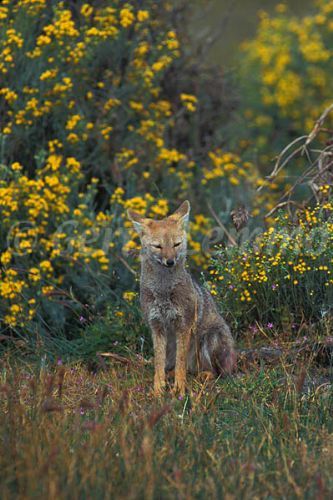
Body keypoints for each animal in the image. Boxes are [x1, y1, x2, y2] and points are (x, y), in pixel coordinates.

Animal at [127, 199, 236, 394]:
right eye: (158, 246)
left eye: (176, 244)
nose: (170, 261)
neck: (163, 291)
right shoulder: (156, 327)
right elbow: (159, 363)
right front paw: (158, 389)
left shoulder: (184, 325)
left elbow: (181, 362)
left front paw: (179, 388)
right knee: (178, 366)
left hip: (209, 338)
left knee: (214, 372)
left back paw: (202, 376)